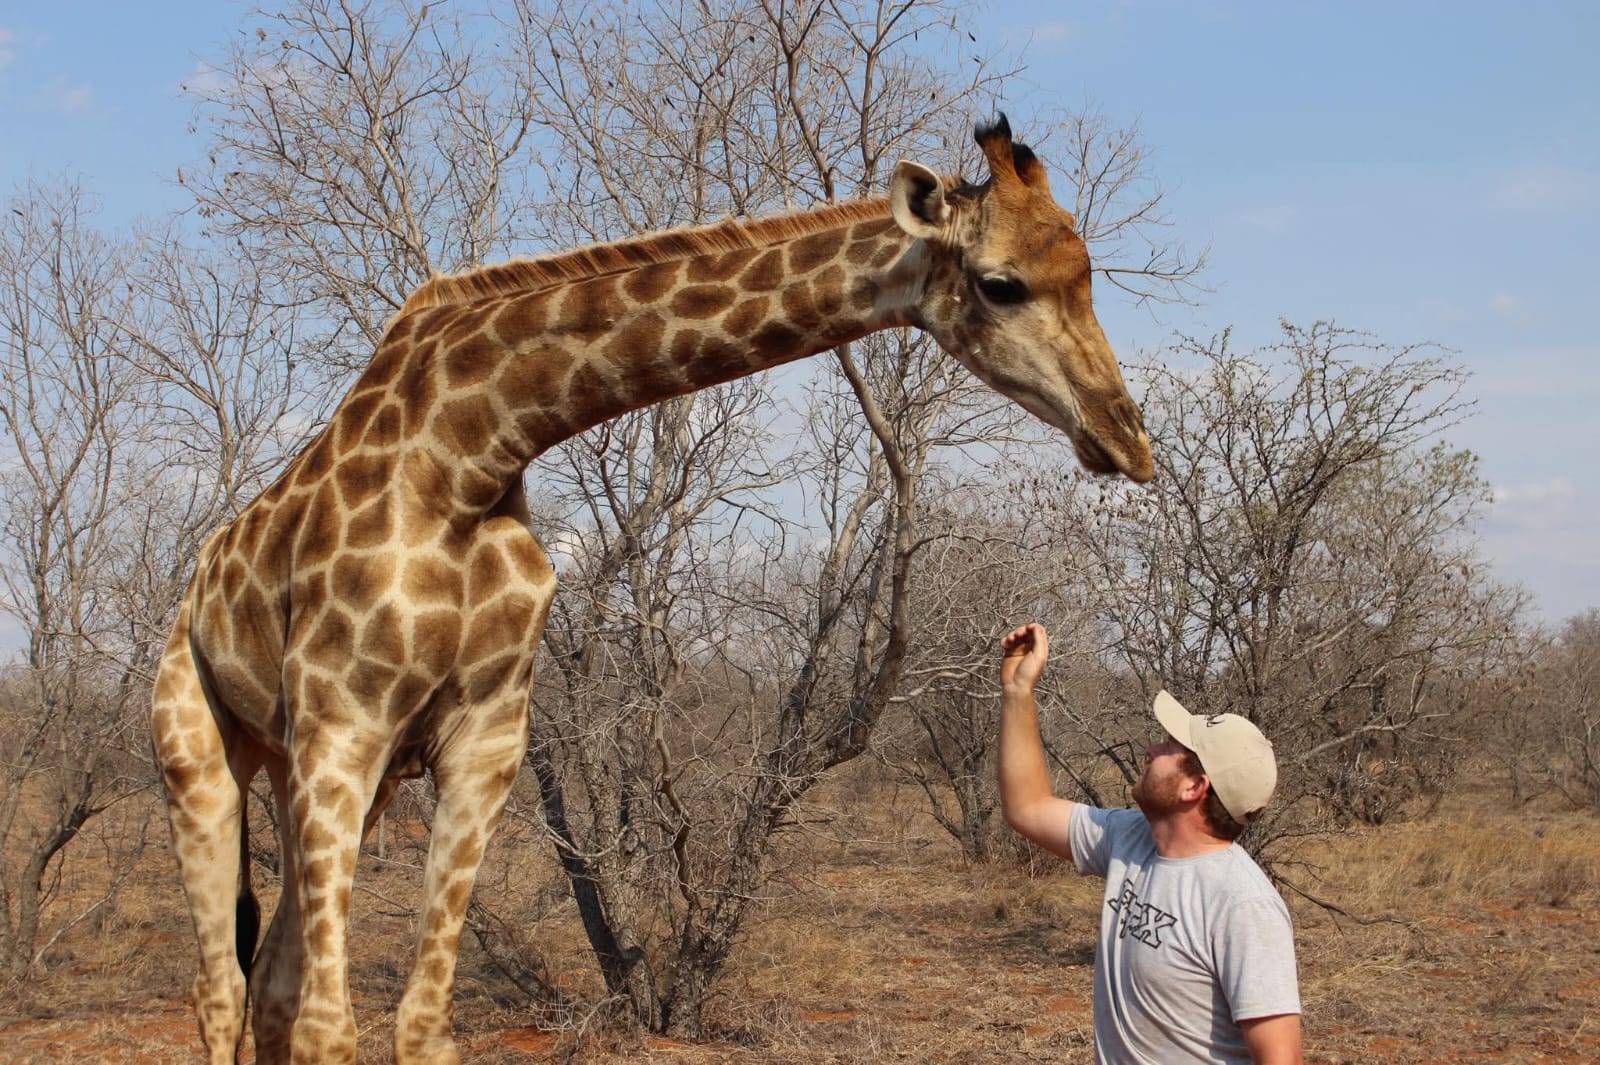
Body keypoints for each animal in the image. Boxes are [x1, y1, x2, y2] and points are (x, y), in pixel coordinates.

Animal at [152, 116, 1153, 1065]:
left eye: (1087, 273)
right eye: (1000, 283)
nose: (1127, 438)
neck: (470, 450)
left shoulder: (483, 740)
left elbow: (424, 1024)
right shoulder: (342, 724)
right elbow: (330, 1028)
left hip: (318, 773)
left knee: (272, 977)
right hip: (206, 752)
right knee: (225, 987)